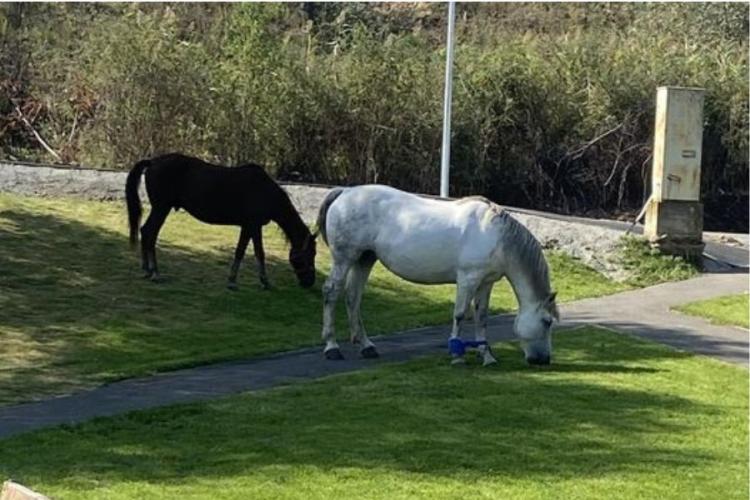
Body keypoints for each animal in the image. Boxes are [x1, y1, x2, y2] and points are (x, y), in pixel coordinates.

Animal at [126, 153, 318, 290]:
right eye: (310, 254)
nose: (309, 282)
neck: (265, 192)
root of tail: (152, 162)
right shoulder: (251, 225)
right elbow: (250, 252)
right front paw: (248, 282)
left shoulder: (251, 227)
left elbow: (250, 252)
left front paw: (252, 281)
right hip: (161, 208)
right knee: (150, 233)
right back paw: (155, 273)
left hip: (160, 209)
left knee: (145, 231)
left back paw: (146, 269)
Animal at [316, 186, 560, 366]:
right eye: (547, 322)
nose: (543, 360)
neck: (495, 235)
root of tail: (345, 192)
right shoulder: (467, 279)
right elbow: (460, 314)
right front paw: (457, 355)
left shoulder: (486, 283)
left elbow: (482, 317)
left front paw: (487, 356)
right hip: (344, 258)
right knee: (332, 292)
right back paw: (332, 347)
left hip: (365, 259)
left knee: (353, 296)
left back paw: (366, 346)